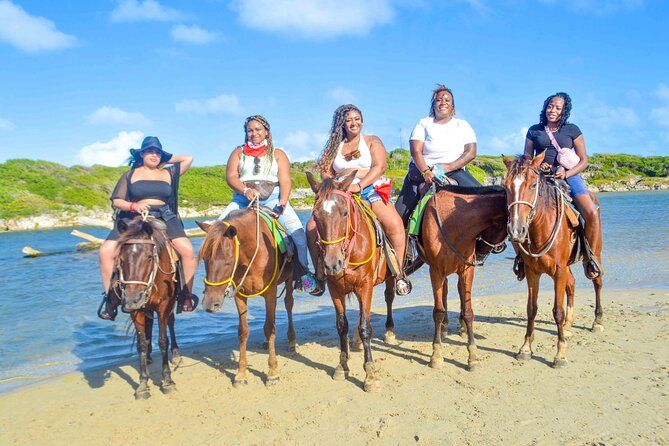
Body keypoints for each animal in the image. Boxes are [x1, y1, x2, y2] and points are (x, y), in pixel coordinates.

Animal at [115, 214, 179, 398]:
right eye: (121, 258)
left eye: (149, 256)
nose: (131, 300)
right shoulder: (136, 311)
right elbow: (141, 343)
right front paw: (143, 383)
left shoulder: (164, 305)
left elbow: (163, 340)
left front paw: (167, 380)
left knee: (171, 322)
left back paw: (176, 354)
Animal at [196, 209, 294, 386]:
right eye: (205, 258)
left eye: (228, 261)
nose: (209, 304)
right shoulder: (240, 295)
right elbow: (243, 331)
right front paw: (241, 373)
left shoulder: (270, 293)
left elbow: (269, 328)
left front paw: (272, 371)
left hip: (289, 280)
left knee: (288, 304)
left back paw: (292, 340)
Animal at [306, 172, 394, 392]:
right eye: (315, 216)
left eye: (345, 213)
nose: (332, 263)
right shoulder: (335, 289)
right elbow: (341, 326)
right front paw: (342, 366)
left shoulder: (365, 286)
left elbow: (365, 327)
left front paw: (370, 374)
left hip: (389, 277)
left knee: (389, 297)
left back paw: (389, 331)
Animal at [420, 183, 508, 372]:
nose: (480, 250)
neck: (453, 224)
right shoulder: (436, 271)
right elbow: (438, 311)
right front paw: (436, 355)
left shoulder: (467, 271)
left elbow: (468, 311)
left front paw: (472, 356)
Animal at [500, 154, 604, 370]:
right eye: (506, 186)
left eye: (533, 184)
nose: (516, 230)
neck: (541, 226)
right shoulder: (533, 272)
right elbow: (531, 309)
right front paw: (525, 348)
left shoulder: (559, 270)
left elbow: (557, 311)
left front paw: (560, 354)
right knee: (572, 285)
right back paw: (568, 326)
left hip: (594, 254)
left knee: (597, 282)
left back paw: (597, 321)